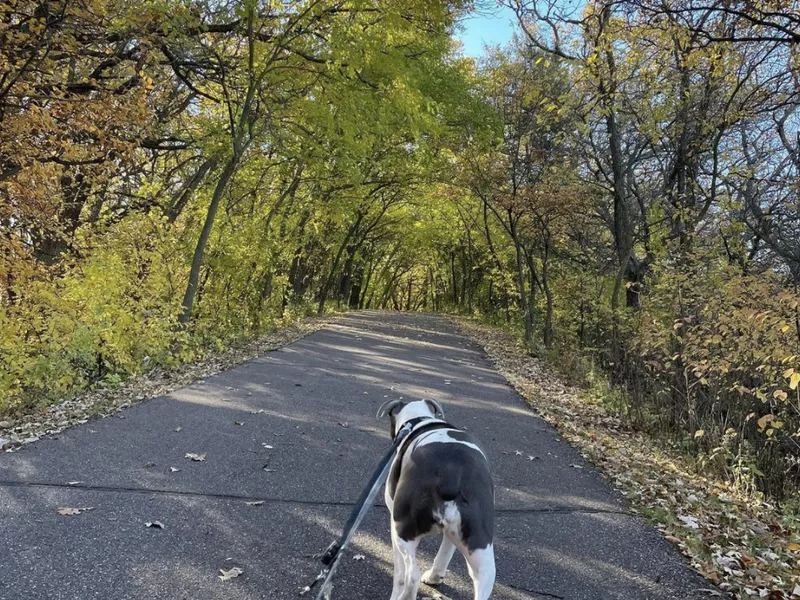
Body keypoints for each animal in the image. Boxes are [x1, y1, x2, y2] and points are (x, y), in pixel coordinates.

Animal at [376, 398, 494, 600]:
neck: (419, 419)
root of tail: (451, 475)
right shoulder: (452, 534)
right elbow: (445, 551)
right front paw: (434, 577)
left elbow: (399, 574)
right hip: (482, 552)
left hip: (402, 531)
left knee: (411, 576)